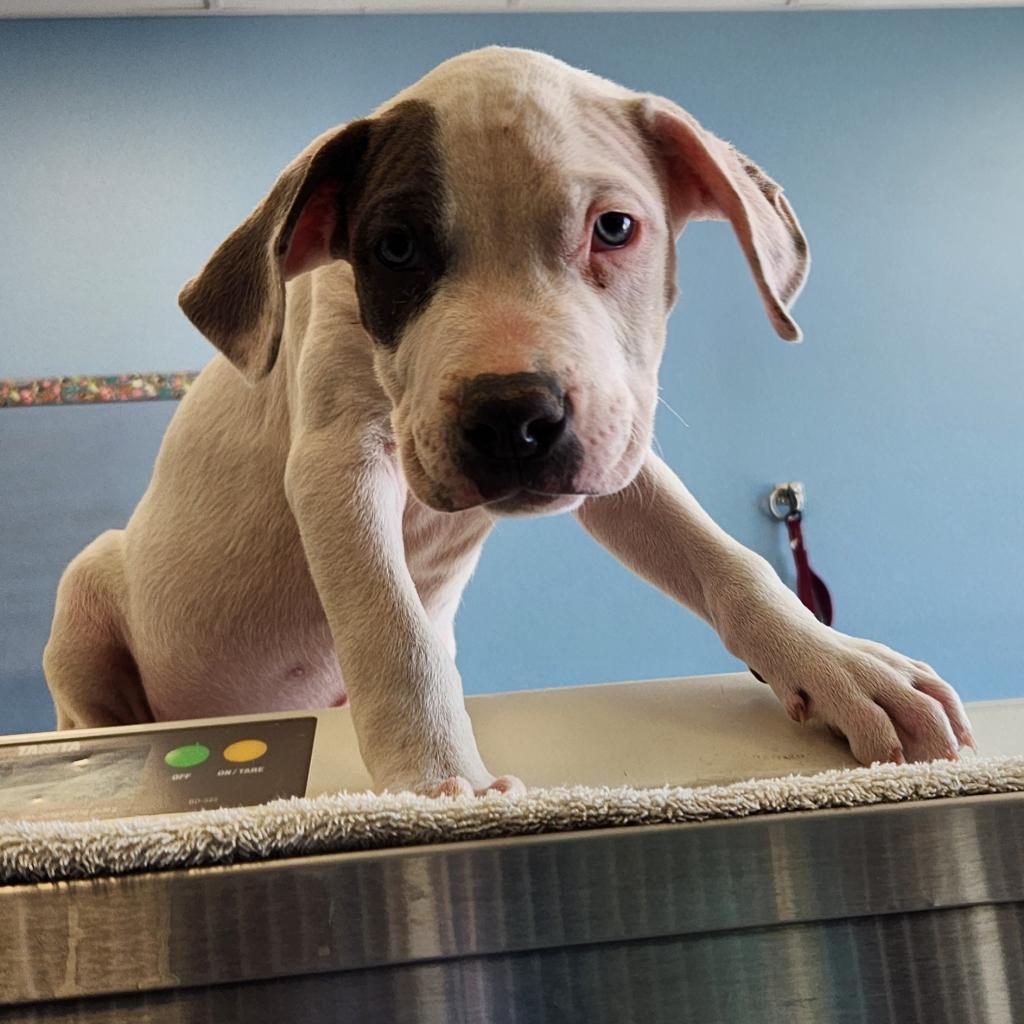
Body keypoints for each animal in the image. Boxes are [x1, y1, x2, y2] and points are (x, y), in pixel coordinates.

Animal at [46, 48, 974, 794]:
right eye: (394, 249)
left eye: (615, 228)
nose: (511, 417)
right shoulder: (336, 462)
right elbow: (391, 628)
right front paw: (433, 781)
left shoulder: (616, 450)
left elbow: (725, 560)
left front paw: (839, 664)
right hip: (88, 588)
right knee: (88, 704)